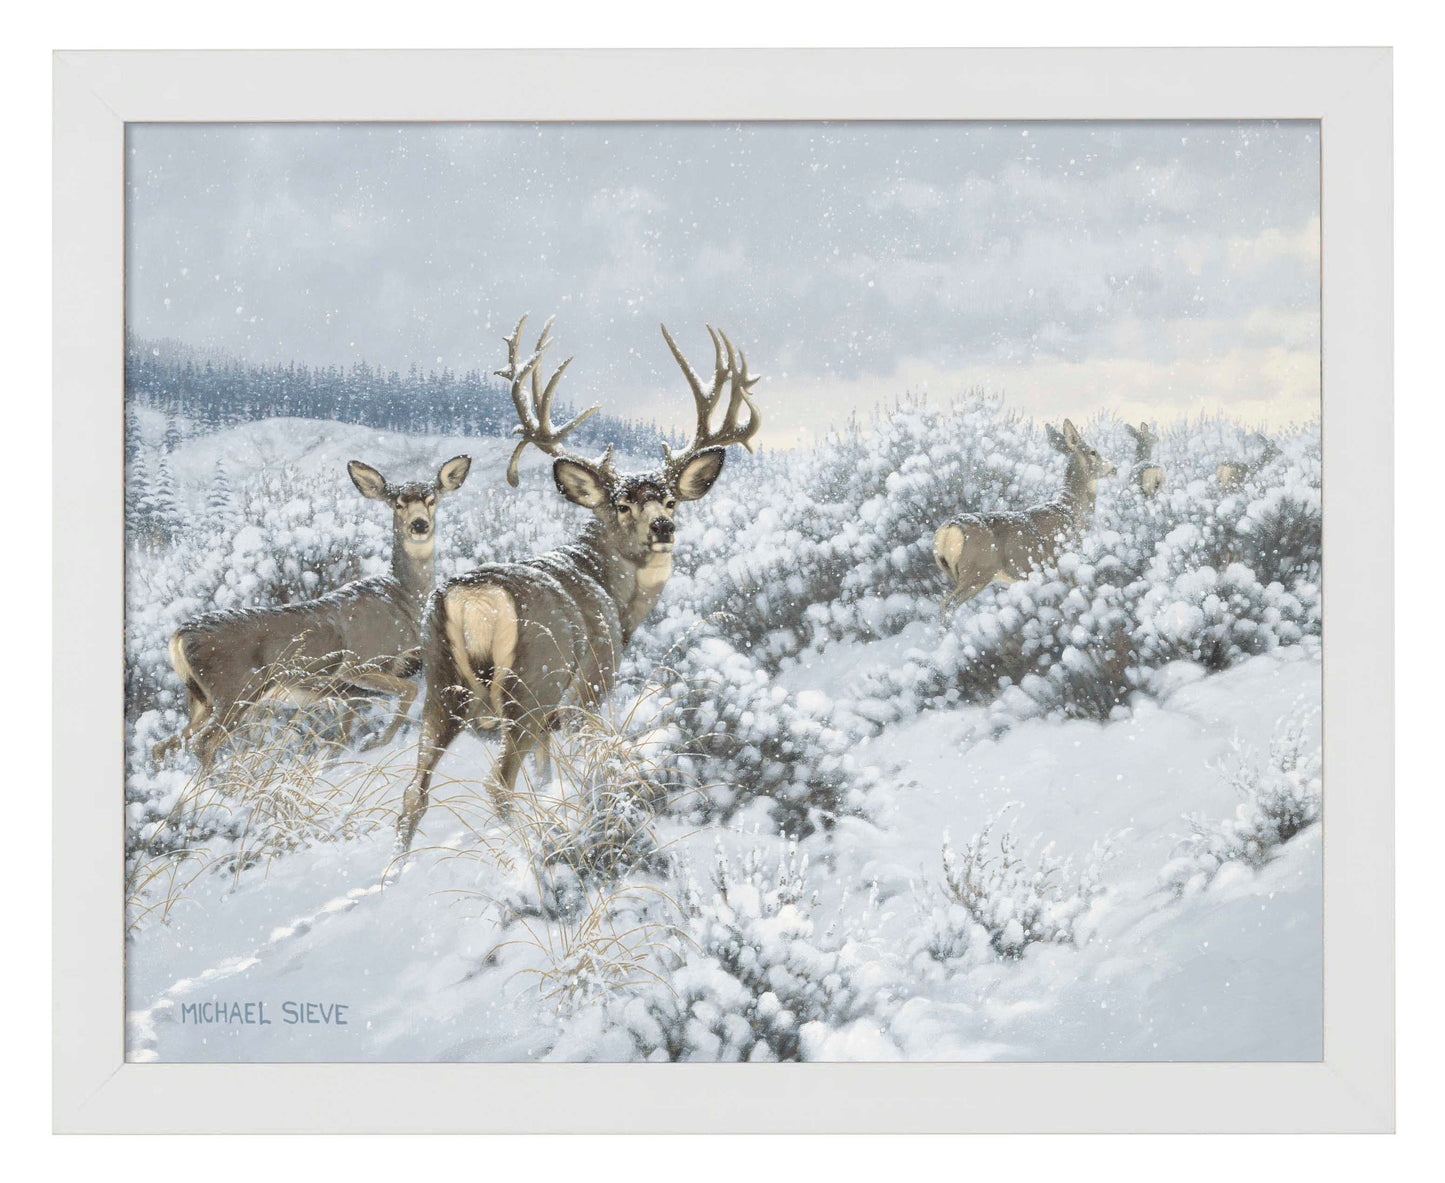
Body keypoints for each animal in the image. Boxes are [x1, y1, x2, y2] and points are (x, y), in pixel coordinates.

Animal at [153, 454, 473, 772]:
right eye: (397, 503)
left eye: (432, 499)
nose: (419, 524)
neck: (402, 600)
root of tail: (179, 637)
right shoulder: (359, 663)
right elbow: (409, 691)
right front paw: (376, 740)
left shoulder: (350, 692)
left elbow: (342, 737)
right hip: (236, 690)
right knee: (203, 744)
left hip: (202, 700)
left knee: (164, 745)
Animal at [393, 315, 761, 852]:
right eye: (622, 504)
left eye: (671, 500)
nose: (663, 528)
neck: (613, 594)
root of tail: (473, 596)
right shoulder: (590, 690)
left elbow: (547, 775)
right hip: (534, 683)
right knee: (497, 784)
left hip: (440, 683)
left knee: (413, 795)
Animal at [932, 419, 1116, 622]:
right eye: (1093, 452)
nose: (1114, 468)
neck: (1072, 511)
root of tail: (948, 529)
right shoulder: (1063, 562)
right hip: (978, 570)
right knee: (947, 604)